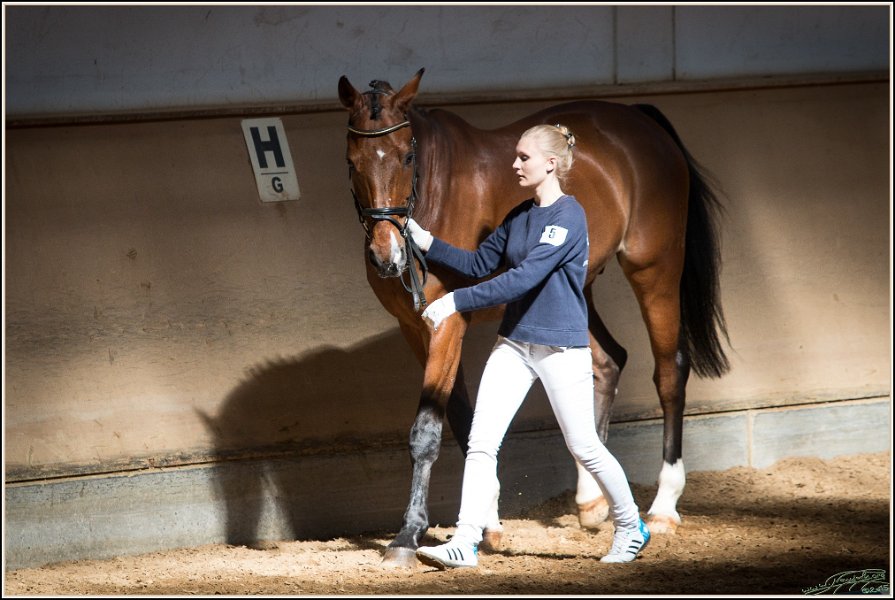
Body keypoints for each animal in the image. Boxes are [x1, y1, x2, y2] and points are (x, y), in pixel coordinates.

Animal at [338, 68, 730, 568]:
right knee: (607, 363)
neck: (436, 188)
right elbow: (465, 422)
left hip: (655, 270)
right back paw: (591, 500)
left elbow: (426, 431)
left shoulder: (447, 324)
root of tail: (640, 120)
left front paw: (407, 536)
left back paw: (663, 509)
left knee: (669, 372)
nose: (386, 256)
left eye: (407, 155)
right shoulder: (416, 330)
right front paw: (487, 522)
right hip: (576, 289)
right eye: (352, 161)